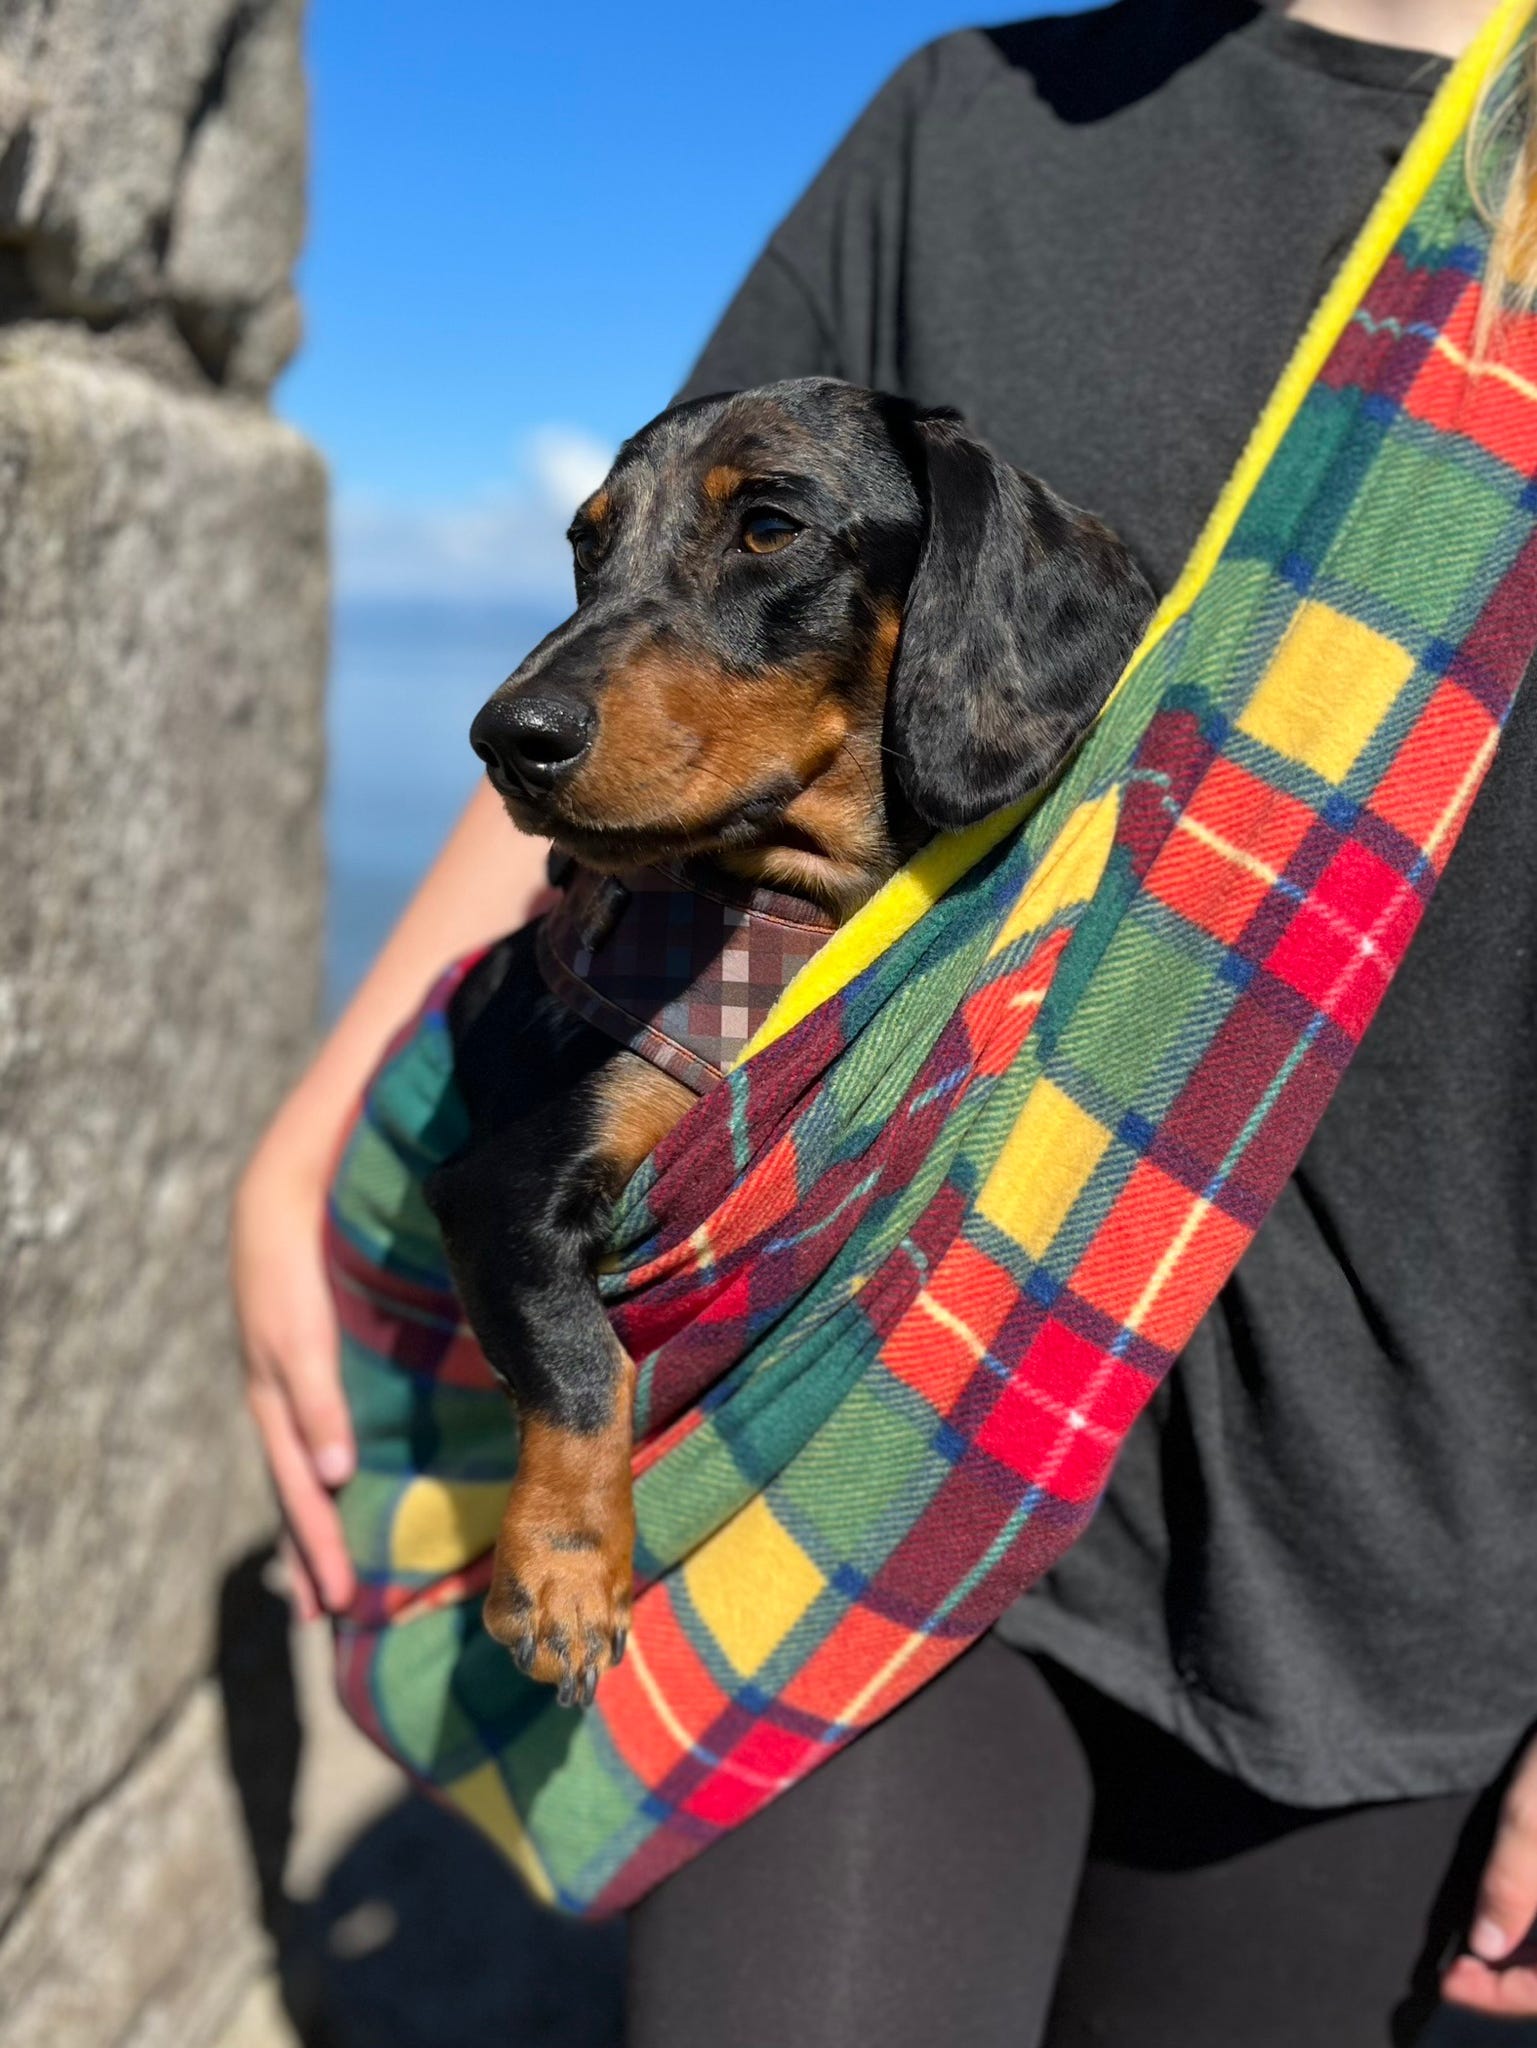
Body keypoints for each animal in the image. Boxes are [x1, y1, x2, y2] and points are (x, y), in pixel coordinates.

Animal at [424, 376, 1155, 1703]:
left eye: (768, 527)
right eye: (586, 544)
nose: (506, 737)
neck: (781, 909)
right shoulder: (492, 1183)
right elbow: (580, 1358)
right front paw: (563, 1571)